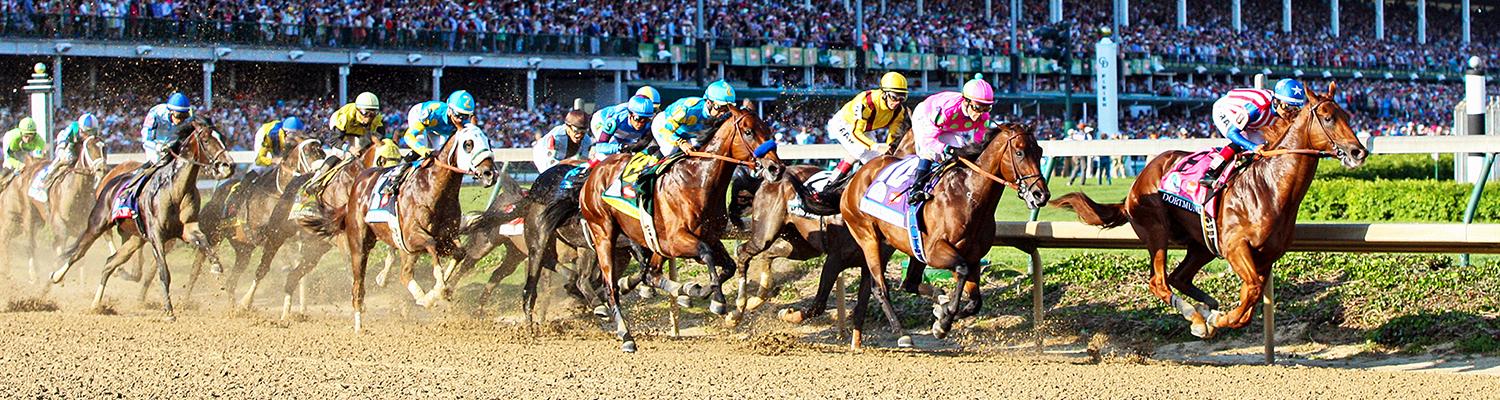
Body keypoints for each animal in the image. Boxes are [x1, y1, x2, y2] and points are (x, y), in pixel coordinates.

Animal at [48, 116, 234, 320]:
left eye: (223, 138)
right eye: (206, 140)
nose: (229, 166)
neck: (175, 190)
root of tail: (110, 182)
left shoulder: (188, 229)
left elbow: (205, 243)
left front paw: (216, 266)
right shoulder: (156, 236)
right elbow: (164, 272)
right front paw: (168, 310)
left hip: (135, 239)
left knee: (109, 263)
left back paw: (96, 304)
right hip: (97, 224)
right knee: (78, 252)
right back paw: (56, 276)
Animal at [297, 125, 498, 332]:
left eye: (488, 141)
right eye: (468, 144)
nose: (490, 173)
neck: (433, 189)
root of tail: (355, 189)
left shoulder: (444, 238)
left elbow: (459, 253)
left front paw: (437, 292)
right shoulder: (412, 237)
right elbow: (431, 246)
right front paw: (436, 292)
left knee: (404, 274)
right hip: (359, 245)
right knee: (358, 286)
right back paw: (359, 325)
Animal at [552, 107, 786, 355]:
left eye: (767, 129)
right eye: (749, 132)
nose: (776, 168)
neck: (698, 182)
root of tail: (593, 173)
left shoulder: (709, 238)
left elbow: (728, 267)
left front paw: (699, 291)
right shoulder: (675, 240)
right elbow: (706, 255)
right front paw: (718, 301)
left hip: (648, 242)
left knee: (651, 274)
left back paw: (673, 290)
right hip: (603, 234)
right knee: (610, 288)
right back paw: (626, 336)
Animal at [828, 123, 1050, 349]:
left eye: (1040, 151)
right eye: (1020, 152)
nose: (1041, 195)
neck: (968, 195)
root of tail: (856, 177)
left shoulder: (973, 257)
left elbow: (975, 302)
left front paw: (942, 315)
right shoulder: (936, 251)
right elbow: (961, 271)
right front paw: (943, 321)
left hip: (904, 245)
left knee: (907, 282)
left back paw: (938, 299)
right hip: (868, 237)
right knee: (880, 287)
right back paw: (902, 333)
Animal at [1050, 83, 1368, 340]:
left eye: (1347, 115)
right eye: (1327, 117)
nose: (1359, 152)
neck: (1270, 186)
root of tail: (1132, 191)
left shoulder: (1266, 256)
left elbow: (1250, 300)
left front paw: (1218, 316)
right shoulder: (1235, 247)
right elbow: (1252, 292)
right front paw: (1218, 320)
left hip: (1201, 243)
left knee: (1179, 277)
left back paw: (1205, 311)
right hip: (1157, 231)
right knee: (1159, 282)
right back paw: (1196, 318)